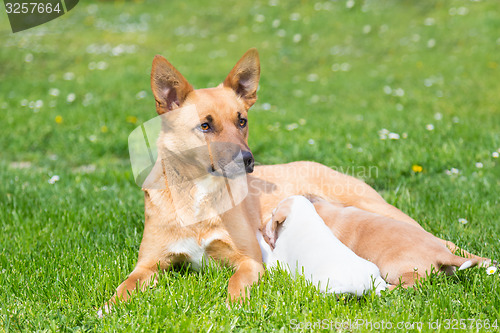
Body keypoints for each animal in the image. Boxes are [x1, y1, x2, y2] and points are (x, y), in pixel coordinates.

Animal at [258, 196, 386, 294]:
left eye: (273, 215)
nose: (264, 228)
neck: (305, 217)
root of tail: (362, 286)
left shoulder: (276, 262)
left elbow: (265, 250)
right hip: (375, 275)